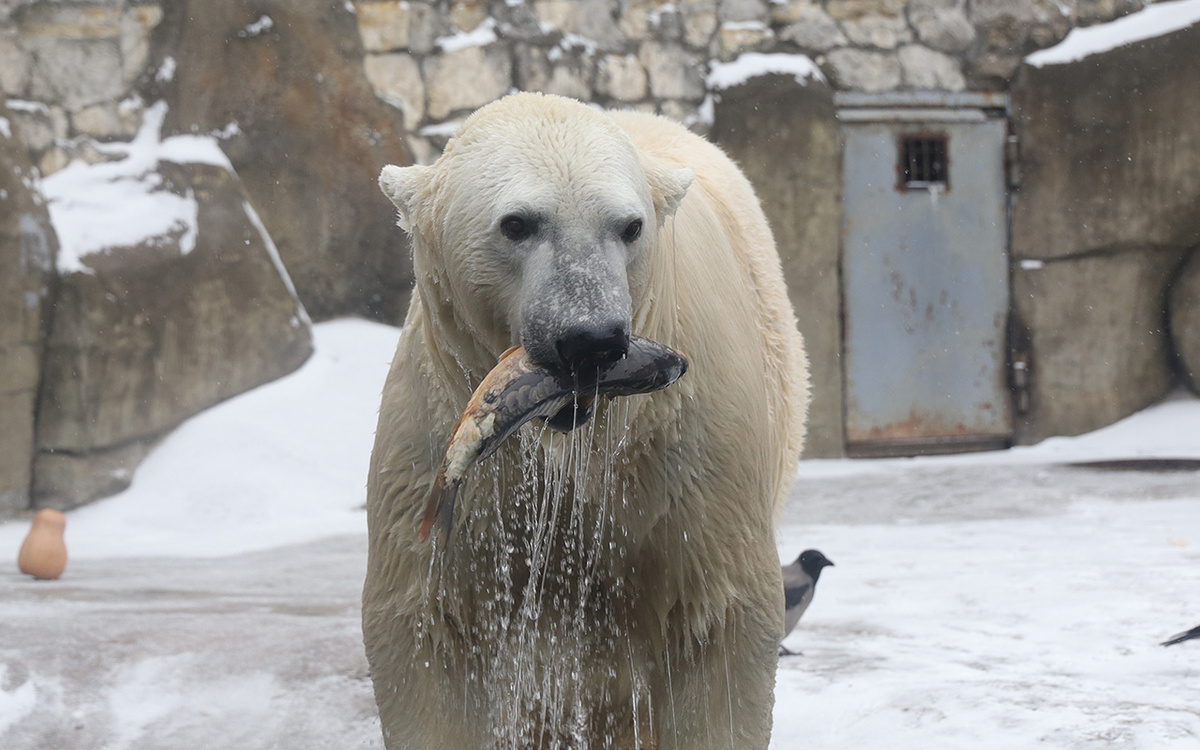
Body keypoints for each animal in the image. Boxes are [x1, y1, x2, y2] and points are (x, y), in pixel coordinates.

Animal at [363, 92, 808, 750]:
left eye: (629, 226)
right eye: (517, 223)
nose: (591, 340)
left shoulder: (693, 455)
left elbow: (717, 625)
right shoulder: (433, 438)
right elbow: (425, 632)